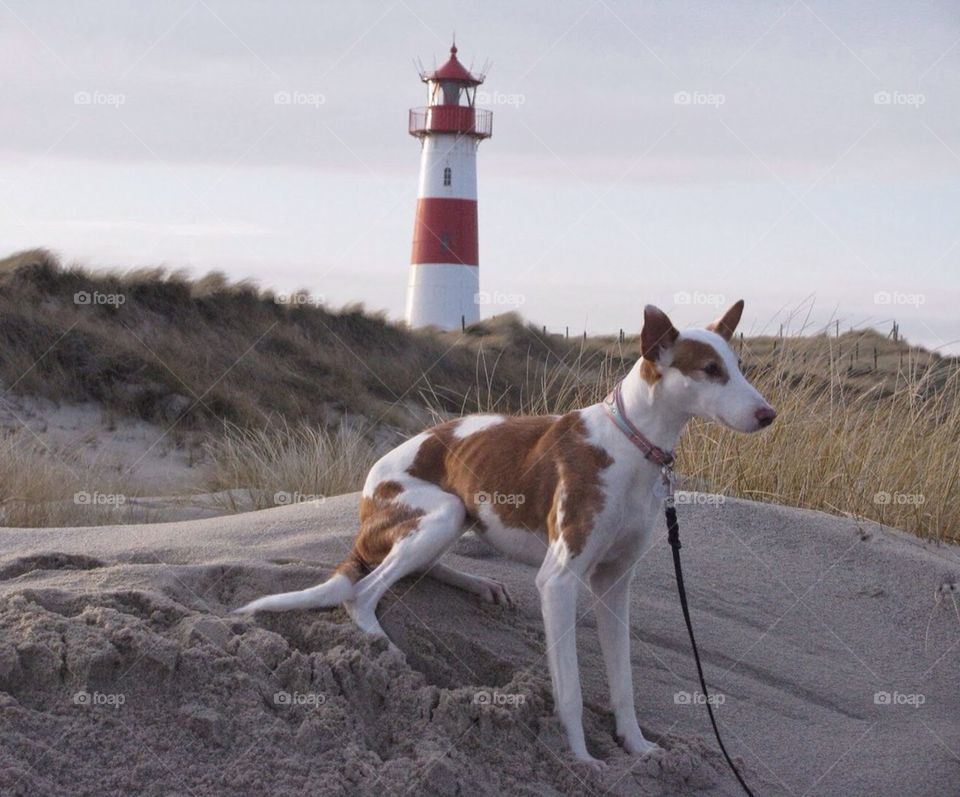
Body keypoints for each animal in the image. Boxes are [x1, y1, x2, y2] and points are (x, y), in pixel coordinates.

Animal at [236, 298, 776, 764]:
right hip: (442, 512)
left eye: (738, 365)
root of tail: (367, 495)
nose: (768, 415)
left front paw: (637, 748)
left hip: (452, 518)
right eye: (710, 370)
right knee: (363, 593)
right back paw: (383, 650)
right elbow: (570, 690)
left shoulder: (614, 583)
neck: (631, 442)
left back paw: (479, 584)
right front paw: (582, 760)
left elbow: (623, 685)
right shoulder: (558, 582)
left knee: (415, 568)